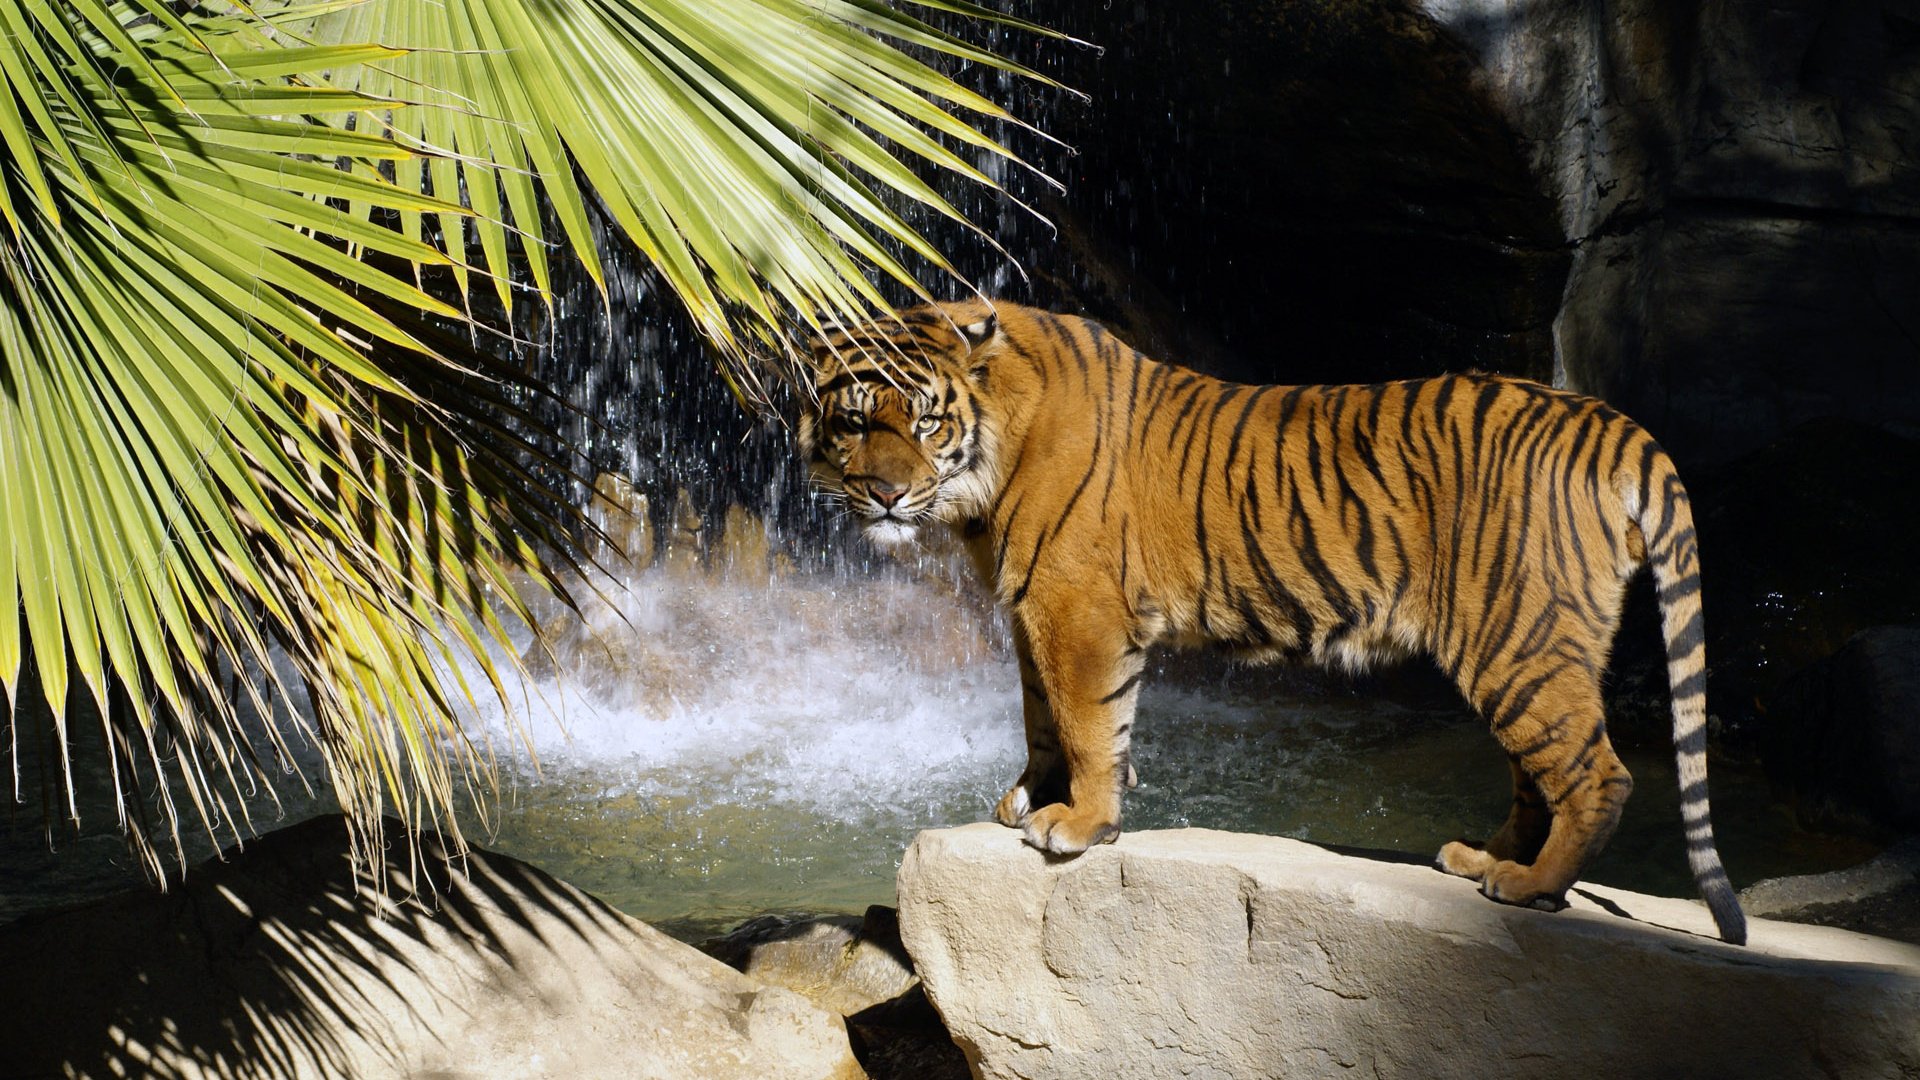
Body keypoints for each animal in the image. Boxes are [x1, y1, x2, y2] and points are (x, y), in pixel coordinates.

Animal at [798, 298, 1747, 945]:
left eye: (927, 422)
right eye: (854, 422)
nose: (885, 494)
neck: (985, 475)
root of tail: (1607, 419)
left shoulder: (1076, 609)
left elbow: (1088, 720)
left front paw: (1079, 823)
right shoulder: (1031, 609)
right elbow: (1042, 719)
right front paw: (1030, 795)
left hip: (1518, 640)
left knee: (1597, 775)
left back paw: (1531, 886)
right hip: (1528, 646)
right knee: (1535, 775)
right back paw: (1484, 861)